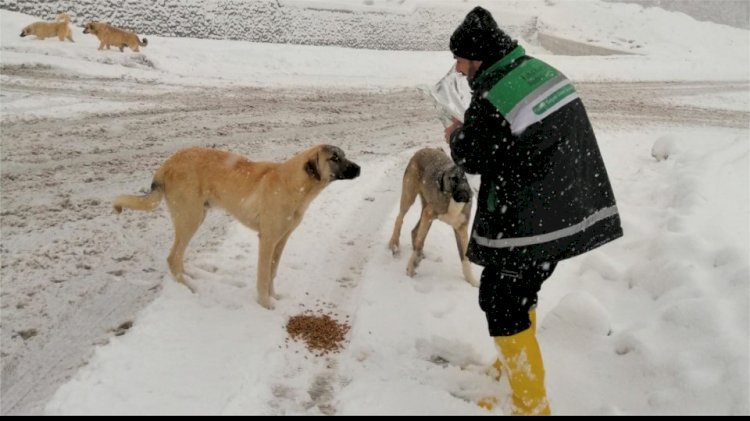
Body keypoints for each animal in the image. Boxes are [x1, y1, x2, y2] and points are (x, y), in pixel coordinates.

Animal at [113, 144, 362, 308]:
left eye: (344, 156)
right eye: (334, 158)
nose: (359, 168)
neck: (294, 185)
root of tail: (166, 164)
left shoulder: (282, 239)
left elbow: (272, 272)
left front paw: (274, 297)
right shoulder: (267, 239)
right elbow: (263, 275)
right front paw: (266, 305)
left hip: (195, 217)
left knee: (178, 256)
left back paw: (190, 276)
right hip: (190, 217)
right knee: (173, 257)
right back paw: (189, 288)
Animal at [390, 147, 478, 286]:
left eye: (468, 180)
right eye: (454, 179)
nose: (464, 195)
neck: (452, 201)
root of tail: (424, 149)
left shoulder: (461, 229)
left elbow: (465, 258)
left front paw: (472, 281)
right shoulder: (429, 214)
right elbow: (420, 242)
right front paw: (411, 267)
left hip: (426, 211)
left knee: (414, 230)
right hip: (410, 197)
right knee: (400, 219)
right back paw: (394, 245)